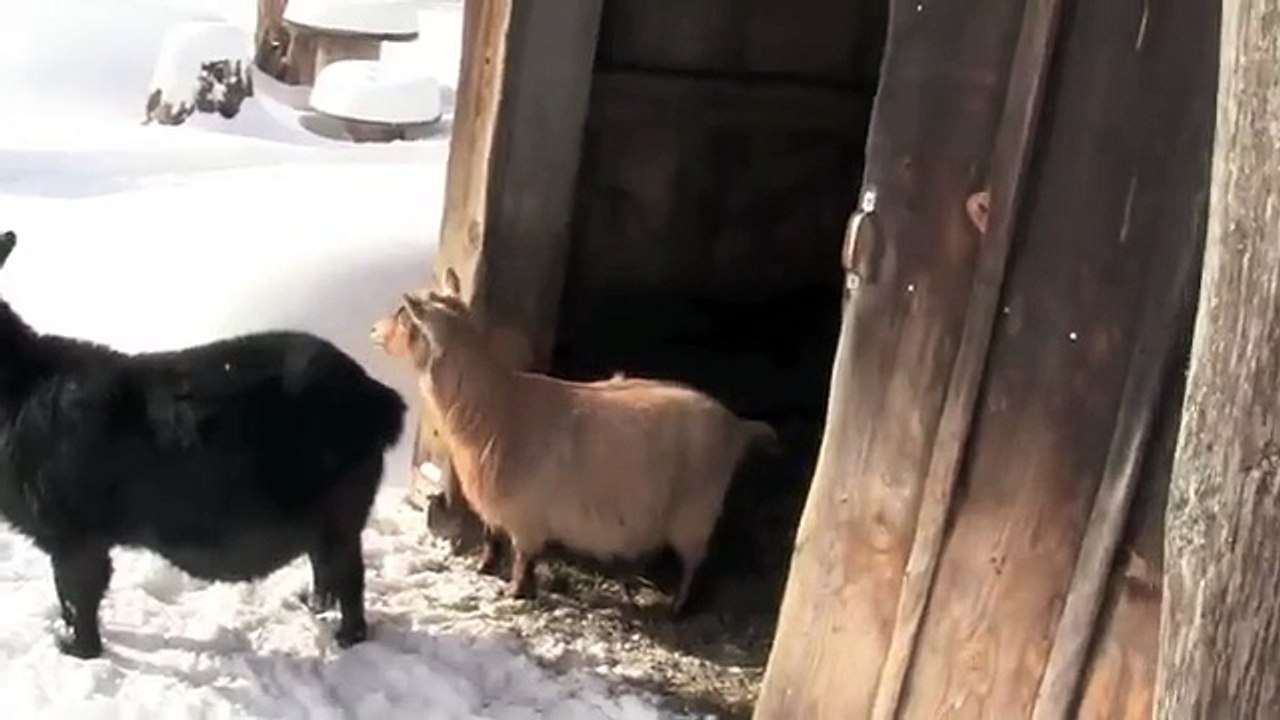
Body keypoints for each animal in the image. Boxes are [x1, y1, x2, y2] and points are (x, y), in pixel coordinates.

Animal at [0, 234, 407, 659]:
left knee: (349, 576)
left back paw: (346, 639)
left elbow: (78, 594)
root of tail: (379, 398)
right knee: (325, 567)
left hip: (341, 509)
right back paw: (311, 607)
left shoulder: (73, 532)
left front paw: (74, 648)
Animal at [370, 270, 777, 614]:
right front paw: (486, 568)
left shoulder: (527, 515)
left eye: (404, 314)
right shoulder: (501, 506)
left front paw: (517, 592)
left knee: (696, 560)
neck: (500, 405)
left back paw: (679, 606)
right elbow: (492, 537)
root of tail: (738, 426)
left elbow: (523, 558)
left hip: (696, 509)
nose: (373, 329)